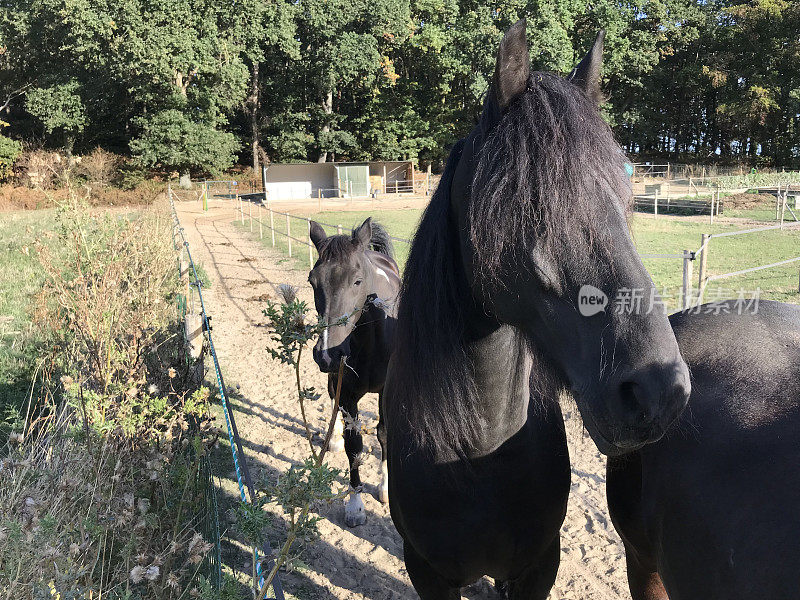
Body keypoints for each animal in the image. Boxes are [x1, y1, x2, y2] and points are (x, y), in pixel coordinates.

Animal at [308, 219, 398, 524]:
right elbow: (354, 447)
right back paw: (332, 438)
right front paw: (355, 504)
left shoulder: (386, 392)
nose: (326, 353)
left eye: (357, 281)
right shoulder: (346, 393)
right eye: (312, 281)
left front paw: (385, 488)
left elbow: (384, 434)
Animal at [384, 19, 692, 600]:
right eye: (527, 207)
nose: (659, 392)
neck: (479, 449)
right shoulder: (428, 572)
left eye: (626, 202)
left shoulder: (535, 567)